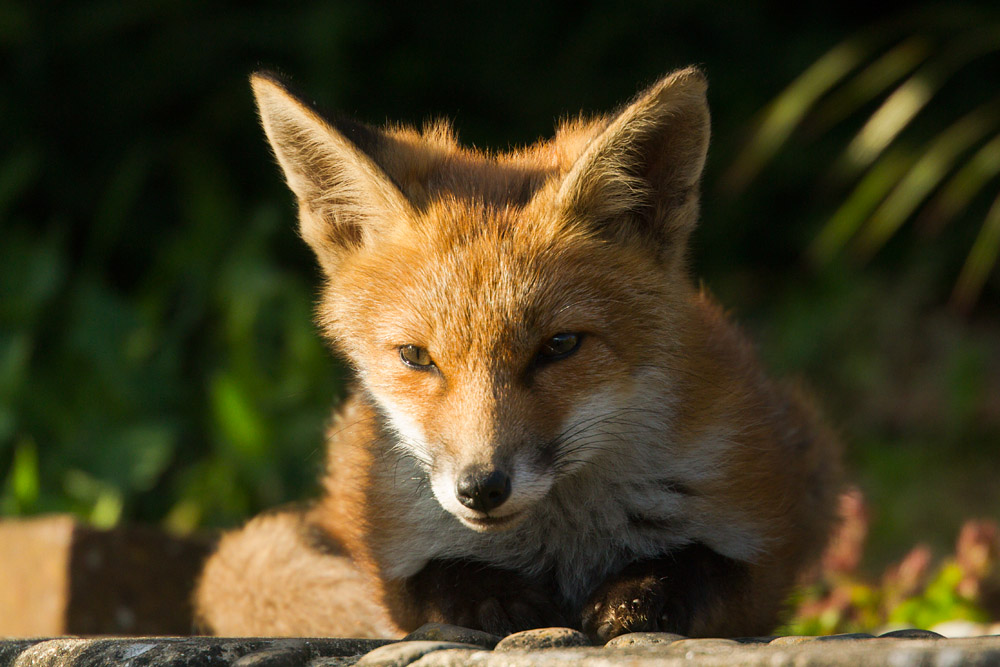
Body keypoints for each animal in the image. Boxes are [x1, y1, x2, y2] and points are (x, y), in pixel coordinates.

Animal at [194, 67, 842, 642]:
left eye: (560, 346)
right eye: (416, 356)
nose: (481, 489)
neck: (565, 537)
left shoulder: (762, 540)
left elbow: (703, 565)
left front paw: (640, 593)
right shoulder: (395, 556)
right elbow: (435, 580)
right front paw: (498, 599)